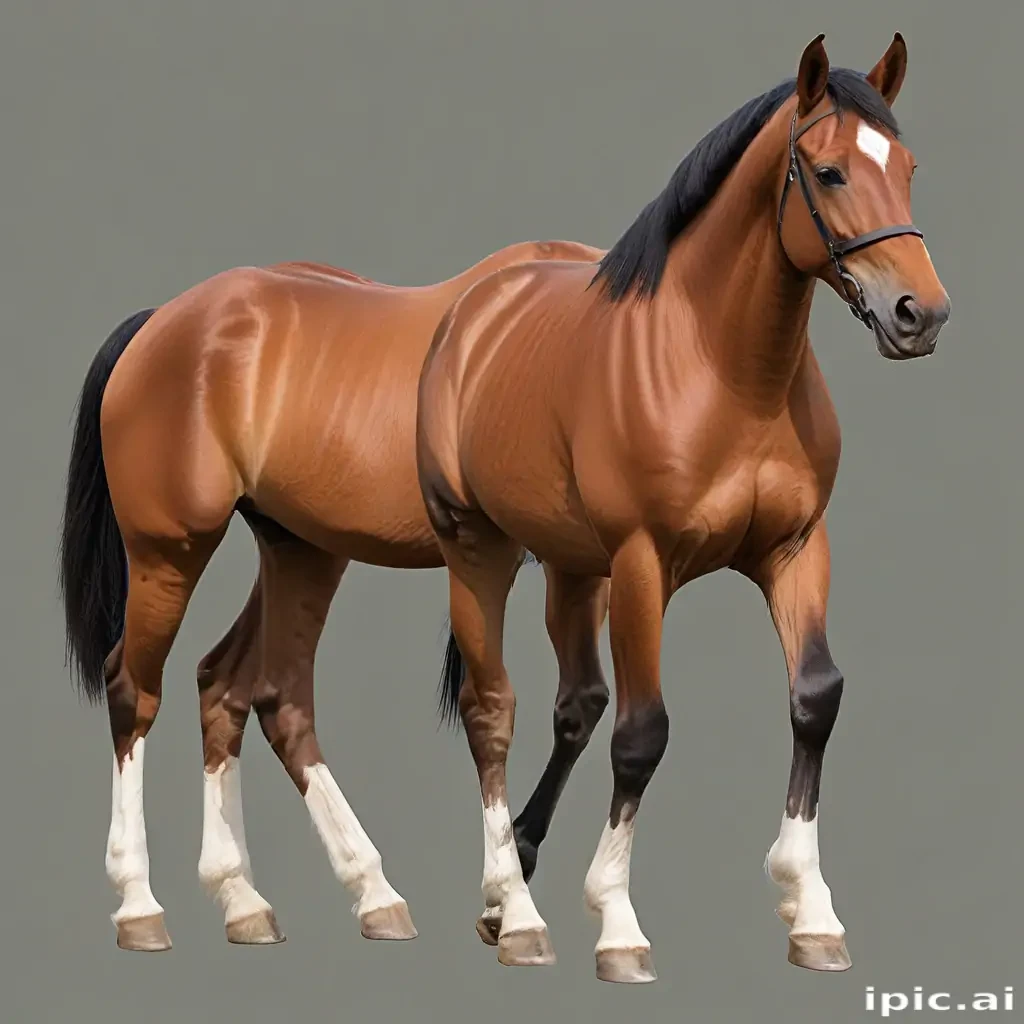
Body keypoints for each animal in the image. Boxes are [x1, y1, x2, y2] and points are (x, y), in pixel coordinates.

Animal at [58, 238, 607, 951]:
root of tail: (162, 323)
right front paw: (510, 890)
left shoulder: (583, 567)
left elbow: (582, 706)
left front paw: (516, 869)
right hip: (169, 552)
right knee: (135, 689)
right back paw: (139, 904)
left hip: (301, 550)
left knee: (241, 688)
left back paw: (265, 897)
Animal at [417, 33, 949, 983]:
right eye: (828, 171)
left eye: (909, 167)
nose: (919, 314)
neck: (725, 371)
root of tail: (478, 302)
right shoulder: (642, 564)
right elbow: (643, 734)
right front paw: (618, 925)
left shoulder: (795, 549)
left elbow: (816, 697)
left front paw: (811, 909)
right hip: (479, 550)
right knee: (493, 713)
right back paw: (511, 909)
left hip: (570, 566)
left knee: (574, 704)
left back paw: (518, 872)